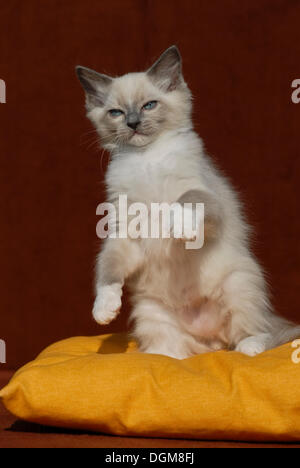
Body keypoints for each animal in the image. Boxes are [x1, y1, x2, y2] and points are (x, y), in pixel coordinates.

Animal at [75, 45, 300, 358]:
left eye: (149, 106)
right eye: (116, 113)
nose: (133, 124)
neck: (146, 159)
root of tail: (211, 341)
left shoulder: (203, 196)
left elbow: (187, 199)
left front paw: (179, 228)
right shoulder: (126, 231)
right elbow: (108, 270)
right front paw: (104, 310)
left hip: (239, 283)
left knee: (252, 333)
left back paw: (249, 348)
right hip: (150, 311)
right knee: (176, 352)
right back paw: (160, 356)